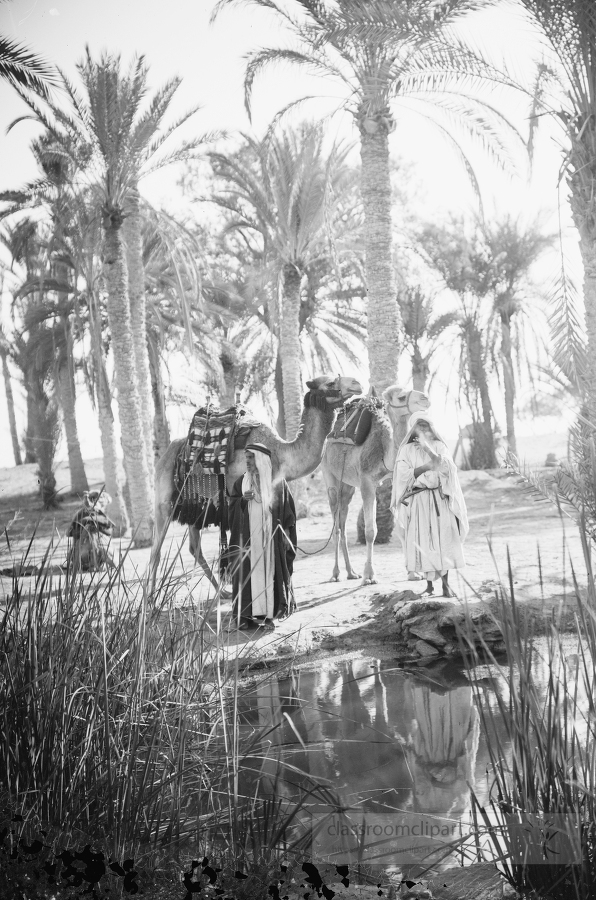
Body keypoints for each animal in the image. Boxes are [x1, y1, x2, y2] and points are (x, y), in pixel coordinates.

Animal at [149, 374, 364, 596]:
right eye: (330, 383)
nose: (357, 384)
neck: (280, 453)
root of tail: (168, 452)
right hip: (164, 501)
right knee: (156, 550)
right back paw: (150, 599)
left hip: (197, 507)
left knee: (194, 547)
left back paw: (222, 592)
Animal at [322, 384, 428, 584]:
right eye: (401, 397)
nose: (425, 398)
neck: (386, 451)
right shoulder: (366, 482)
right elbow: (371, 531)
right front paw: (369, 575)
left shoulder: (395, 478)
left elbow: (402, 528)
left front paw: (413, 573)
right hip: (330, 476)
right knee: (336, 526)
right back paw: (336, 573)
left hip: (348, 486)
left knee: (343, 521)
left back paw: (351, 572)